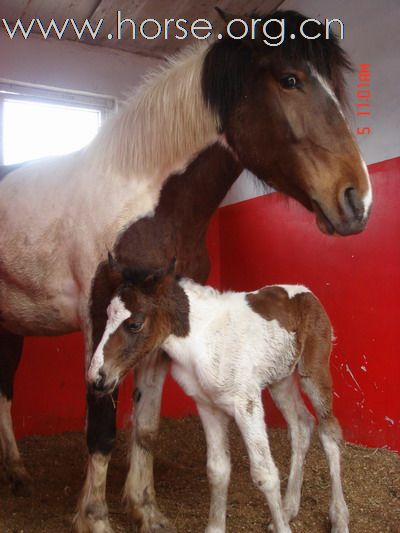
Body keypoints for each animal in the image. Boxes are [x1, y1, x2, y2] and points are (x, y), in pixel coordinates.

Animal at [88, 260, 350, 528]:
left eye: (135, 324)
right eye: (107, 316)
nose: (98, 377)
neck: (201, 340)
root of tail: (306, 292)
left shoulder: (247, 405)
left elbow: (265, 474)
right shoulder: (208, 406)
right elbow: (218, 470)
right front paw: (215, 526)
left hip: (313, 371)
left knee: (329, 432)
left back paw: (339, 518)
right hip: (281, 381)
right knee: (301, 425)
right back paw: (289, 508)